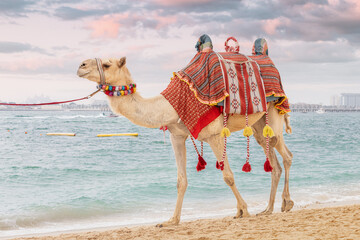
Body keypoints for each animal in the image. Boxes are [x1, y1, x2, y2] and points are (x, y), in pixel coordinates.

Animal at [77, 57, 294, 226]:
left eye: (106, 64)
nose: (81, 65)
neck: (171, 106)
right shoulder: (177, 136)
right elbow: (181, 180)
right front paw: (172, 220)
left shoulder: (214, 134)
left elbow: (228, 176)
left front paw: (243, 210)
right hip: (259, 125)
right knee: (273, 160)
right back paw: (267, 209)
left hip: (273, 113)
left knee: (286, 154)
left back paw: (287, 203)